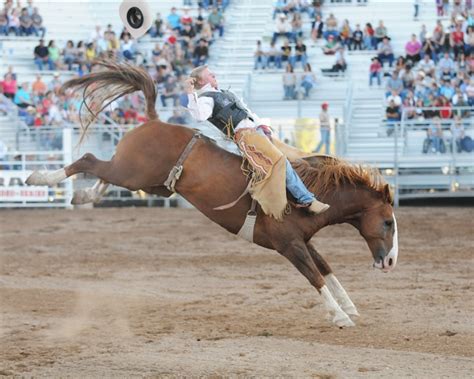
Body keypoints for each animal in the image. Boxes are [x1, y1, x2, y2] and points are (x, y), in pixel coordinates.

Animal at [25, 60, 396, 328]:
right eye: (389, 223)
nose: (390, 261)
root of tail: (154, 120)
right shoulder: (289, 245)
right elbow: (315, 276)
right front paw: (341, 316)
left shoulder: (303, 241)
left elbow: (327, 269)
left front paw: (350, 306)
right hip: (131, 172)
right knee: (89, 160)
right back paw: (40, 176)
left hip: (145, 180)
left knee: (103, 174)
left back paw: (83, 197)